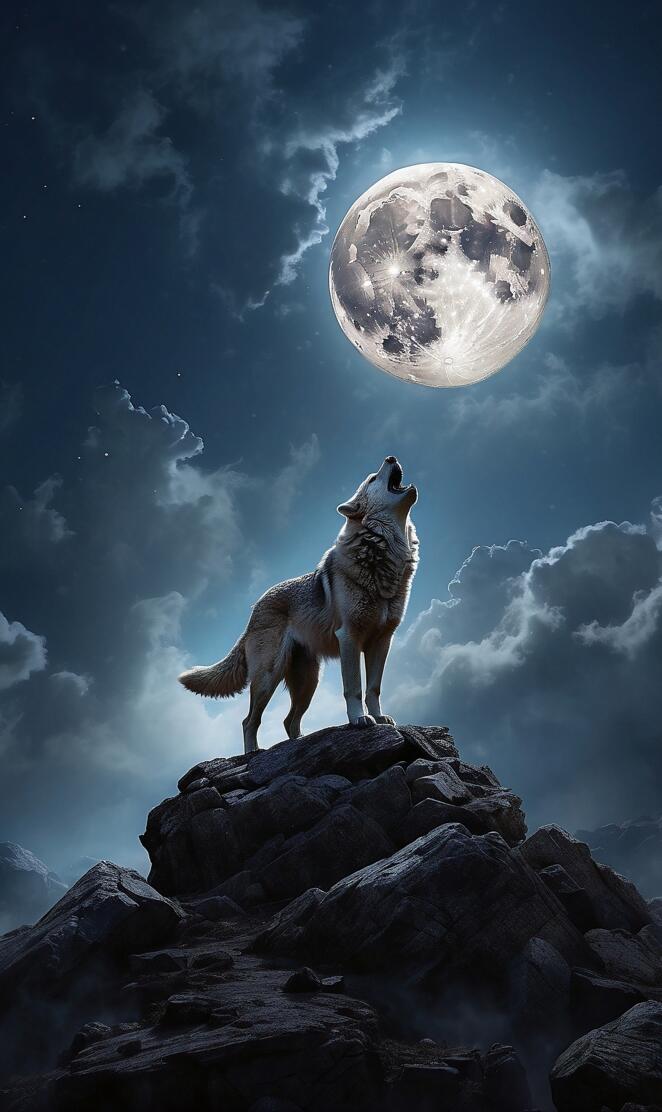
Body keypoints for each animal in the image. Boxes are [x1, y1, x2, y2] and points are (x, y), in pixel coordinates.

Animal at [178, 456, 418, 755]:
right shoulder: (349, 637)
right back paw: (253, 753)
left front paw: (379, 717)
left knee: (288, 720)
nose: (390, 457)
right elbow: (354, 687)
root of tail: (254, 610)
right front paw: (359, 720)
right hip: (268, 677)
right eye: (373, 478)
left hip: (308, 683)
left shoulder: (382, 641)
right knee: (249, 721)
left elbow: (373, 688)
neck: (382, 550)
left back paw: (300, 743)